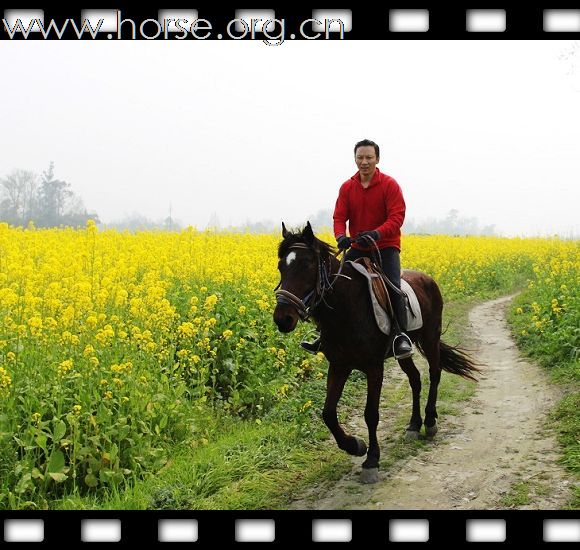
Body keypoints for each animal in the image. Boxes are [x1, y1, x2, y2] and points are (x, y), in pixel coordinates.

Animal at [274, 222, 480, 486]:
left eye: (307, 265)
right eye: (281, 266)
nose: (282, 319)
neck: (344, 308)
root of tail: (428, 279)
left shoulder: (374, 367)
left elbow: (371, 414)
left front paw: (371, 460)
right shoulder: (339, 365)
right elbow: (328, 413)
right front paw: (355, 445)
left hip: (430, 339)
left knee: (434, 374)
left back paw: (430, 421)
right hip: (405, 352)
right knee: (415, 379)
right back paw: (414, 425)